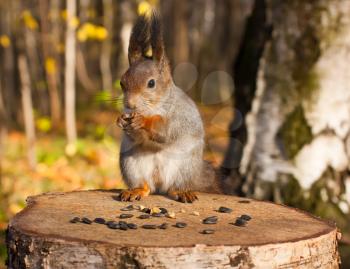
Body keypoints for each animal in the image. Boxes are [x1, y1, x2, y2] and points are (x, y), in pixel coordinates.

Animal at [117, 12, 221, 201]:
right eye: (122, 82)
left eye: (151, 83)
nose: (129, 104)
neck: (152, 108)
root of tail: (159, 182)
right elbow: (133, 137)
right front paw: (121, 120)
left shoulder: (179, 117)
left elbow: (165, 130)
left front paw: (143, 121)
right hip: (131, 164)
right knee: (146, 186)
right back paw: (137, 190)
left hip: (184, 167)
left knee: (174, 187)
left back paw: (181, 191)